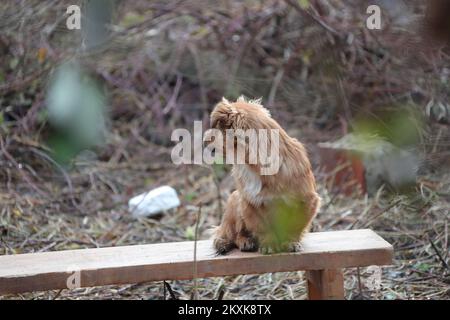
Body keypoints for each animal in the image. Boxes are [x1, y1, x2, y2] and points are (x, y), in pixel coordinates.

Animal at [209, 96, 322, 254]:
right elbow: (262, 228)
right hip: (235, 198)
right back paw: (245, 241)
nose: (204, 140)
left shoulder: (307, 201)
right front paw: (269, 244)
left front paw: (291, 242)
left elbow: (295, 227)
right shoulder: (250, 203)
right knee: (235, 234)